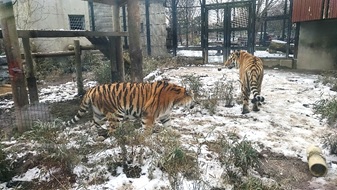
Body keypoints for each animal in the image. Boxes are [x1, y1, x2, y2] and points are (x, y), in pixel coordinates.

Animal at [63, 81, 194, 134]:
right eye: (193, 99)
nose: (193, 106)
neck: (175, 99)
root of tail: (92, 89)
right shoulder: (149, 115)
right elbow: (147, 129)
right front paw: (146, 139)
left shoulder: (165, 115)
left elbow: (168, 126)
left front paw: (174, 134)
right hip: (115, 114)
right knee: (112, 131)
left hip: (98, 114)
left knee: (93, 125)